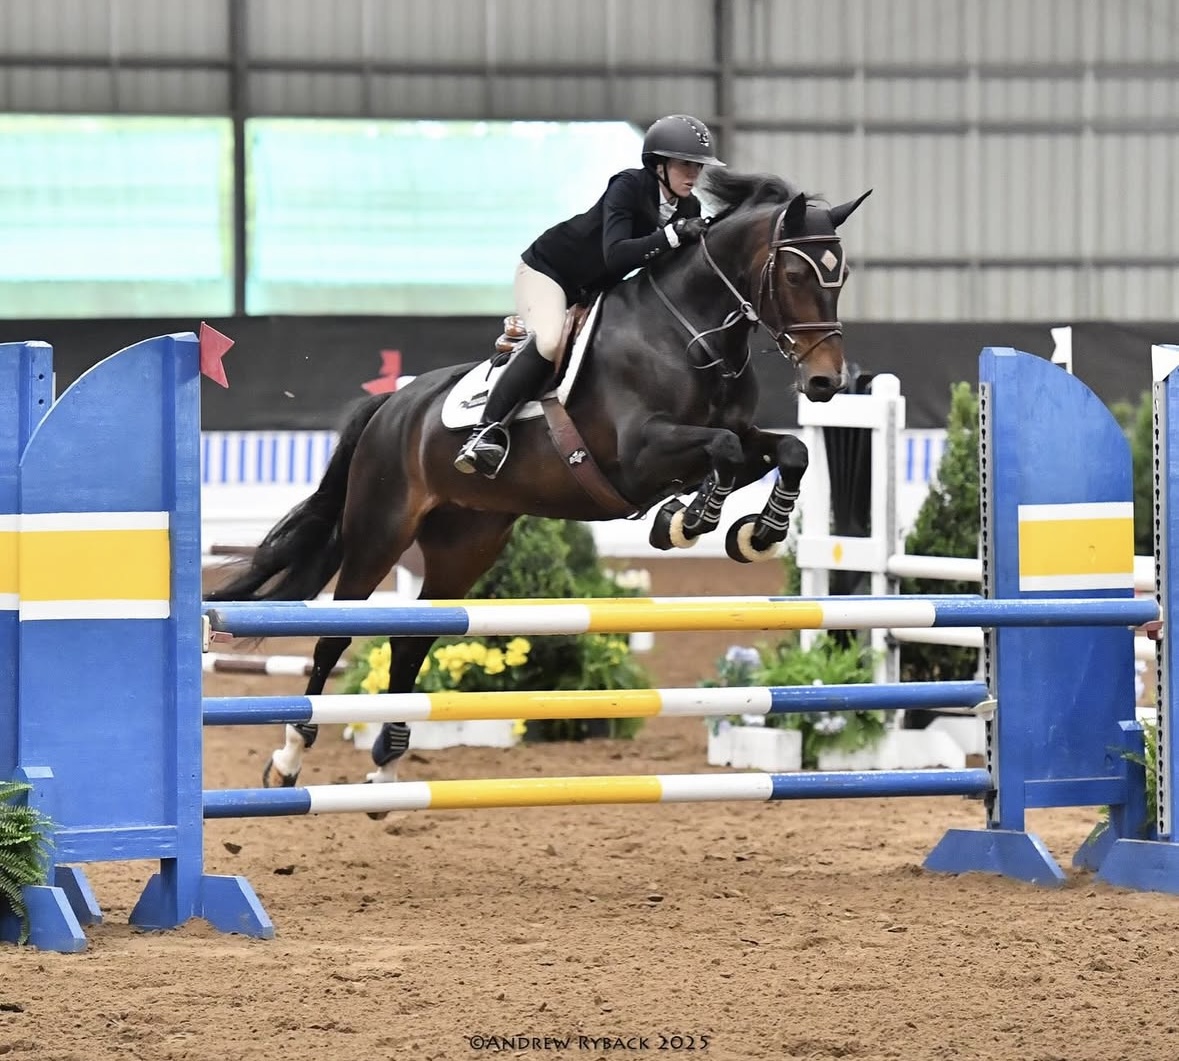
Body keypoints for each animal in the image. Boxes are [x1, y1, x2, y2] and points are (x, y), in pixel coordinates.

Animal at [206, 168, 872, 792]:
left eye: (839, 279)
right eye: (795, 277)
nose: (825, 384)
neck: (691, 335)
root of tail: (392, 406)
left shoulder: (730, 437)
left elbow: (783, 451)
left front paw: (750, 531)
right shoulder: (638, 455)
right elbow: (724, 452)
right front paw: (692, 520)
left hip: (466, 543)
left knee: (412, 639)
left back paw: (389, 764)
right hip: (379, 529)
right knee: (333, 637)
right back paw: (289, 759)